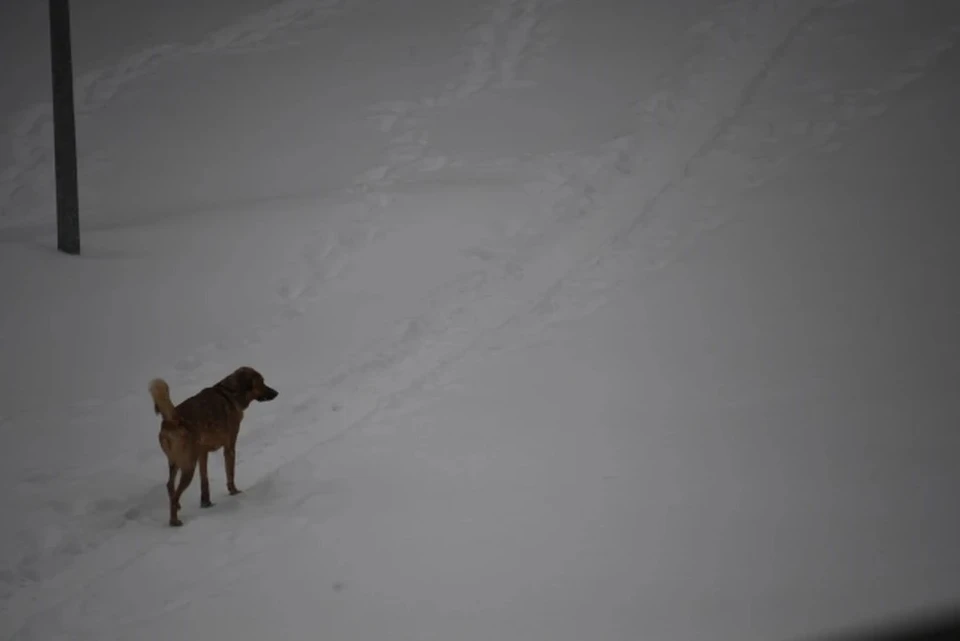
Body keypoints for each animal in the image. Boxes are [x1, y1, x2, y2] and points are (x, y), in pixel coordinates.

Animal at [148, 364, 278, 524]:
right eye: (262, 382)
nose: (276, 393)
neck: (229, 392)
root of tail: (171, 421)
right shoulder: (229, 447)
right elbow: (230, 473)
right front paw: (235, 493)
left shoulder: (203, 453)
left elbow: (204, 480)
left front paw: (206, 503)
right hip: (188, 465)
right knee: (176, 493)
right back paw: (174, 521)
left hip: (175, 462)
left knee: (170, 486)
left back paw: (177, 507)